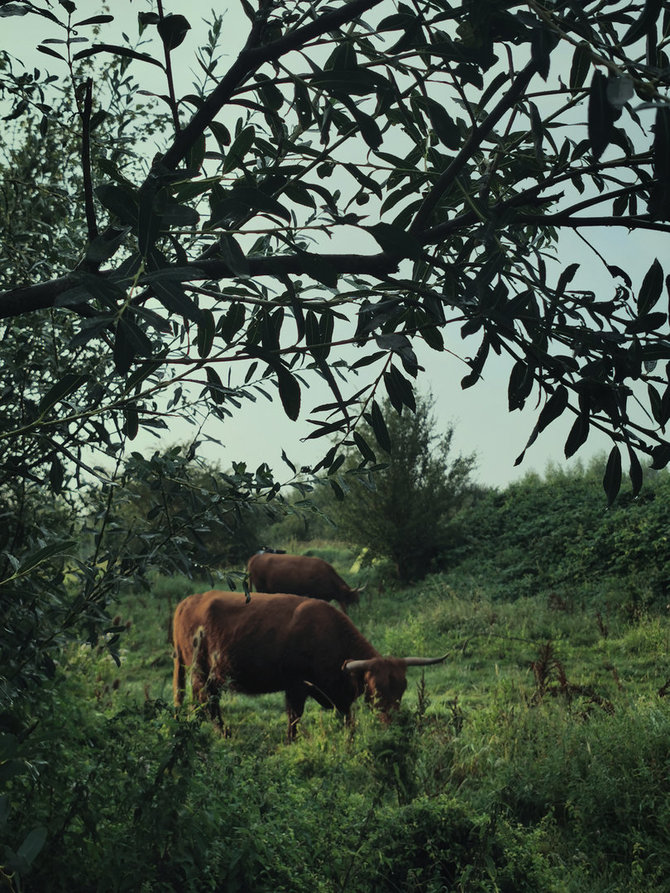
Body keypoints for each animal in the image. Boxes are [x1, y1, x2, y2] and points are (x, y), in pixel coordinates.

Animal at [171, 592, 448, 740]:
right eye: (376, 690)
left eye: (401, 689)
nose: (392, 726)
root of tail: (187, 601)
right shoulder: (295, 686)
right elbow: (294, 718)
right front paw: (290, 742)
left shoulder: (338, 695)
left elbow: (348, 719)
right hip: (201, 671)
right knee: (205, 701)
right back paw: (224, 733)